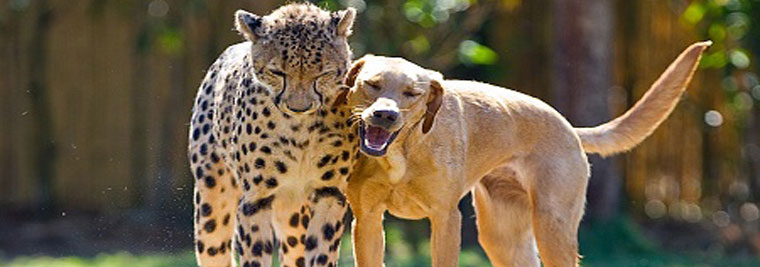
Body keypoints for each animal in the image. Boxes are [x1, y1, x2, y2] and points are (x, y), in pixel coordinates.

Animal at [189, 3, 358, 266]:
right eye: (277, 72)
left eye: (323, 74)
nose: (299, 107)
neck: (300, 129)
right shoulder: (256, 198)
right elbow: (255, 253)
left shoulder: (329, 192)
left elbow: (321, 251)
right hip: (212, 205)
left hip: (293, 217)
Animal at [342, 42, 708, 267]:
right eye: (372, 85)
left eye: (412, 93)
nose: (385, 116)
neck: (400, 156)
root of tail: (569, 127)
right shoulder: (368, 220)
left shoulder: (445, 219)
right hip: (503, 238)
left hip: (552, 226)